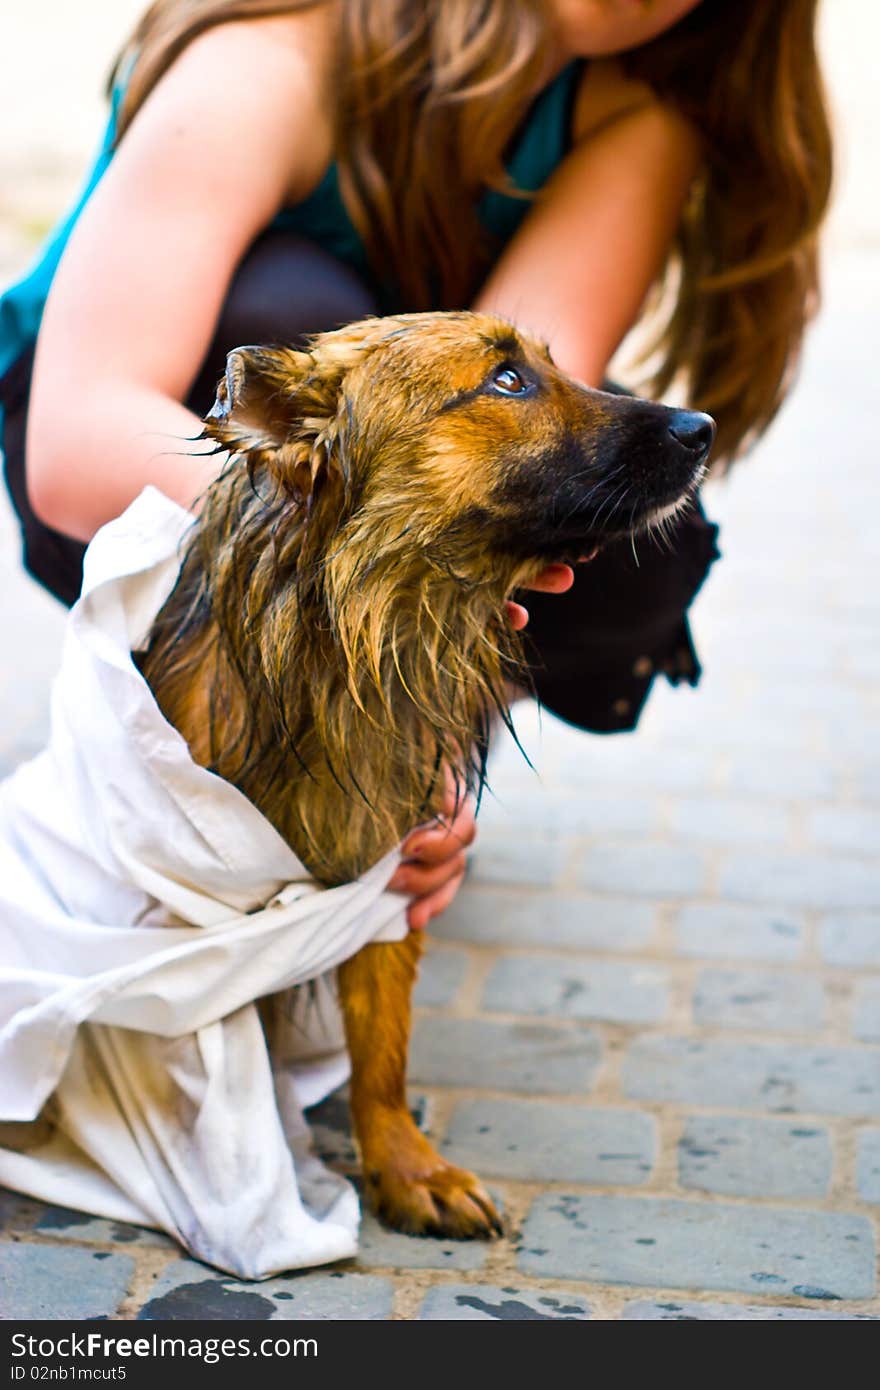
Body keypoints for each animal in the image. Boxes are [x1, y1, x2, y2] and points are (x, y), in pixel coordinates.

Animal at [139, 312, 711, 1239]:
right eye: (507, 380)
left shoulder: (389, 869)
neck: (351, 648)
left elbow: (383, 1049)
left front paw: (407, 1169)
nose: (705, 429)